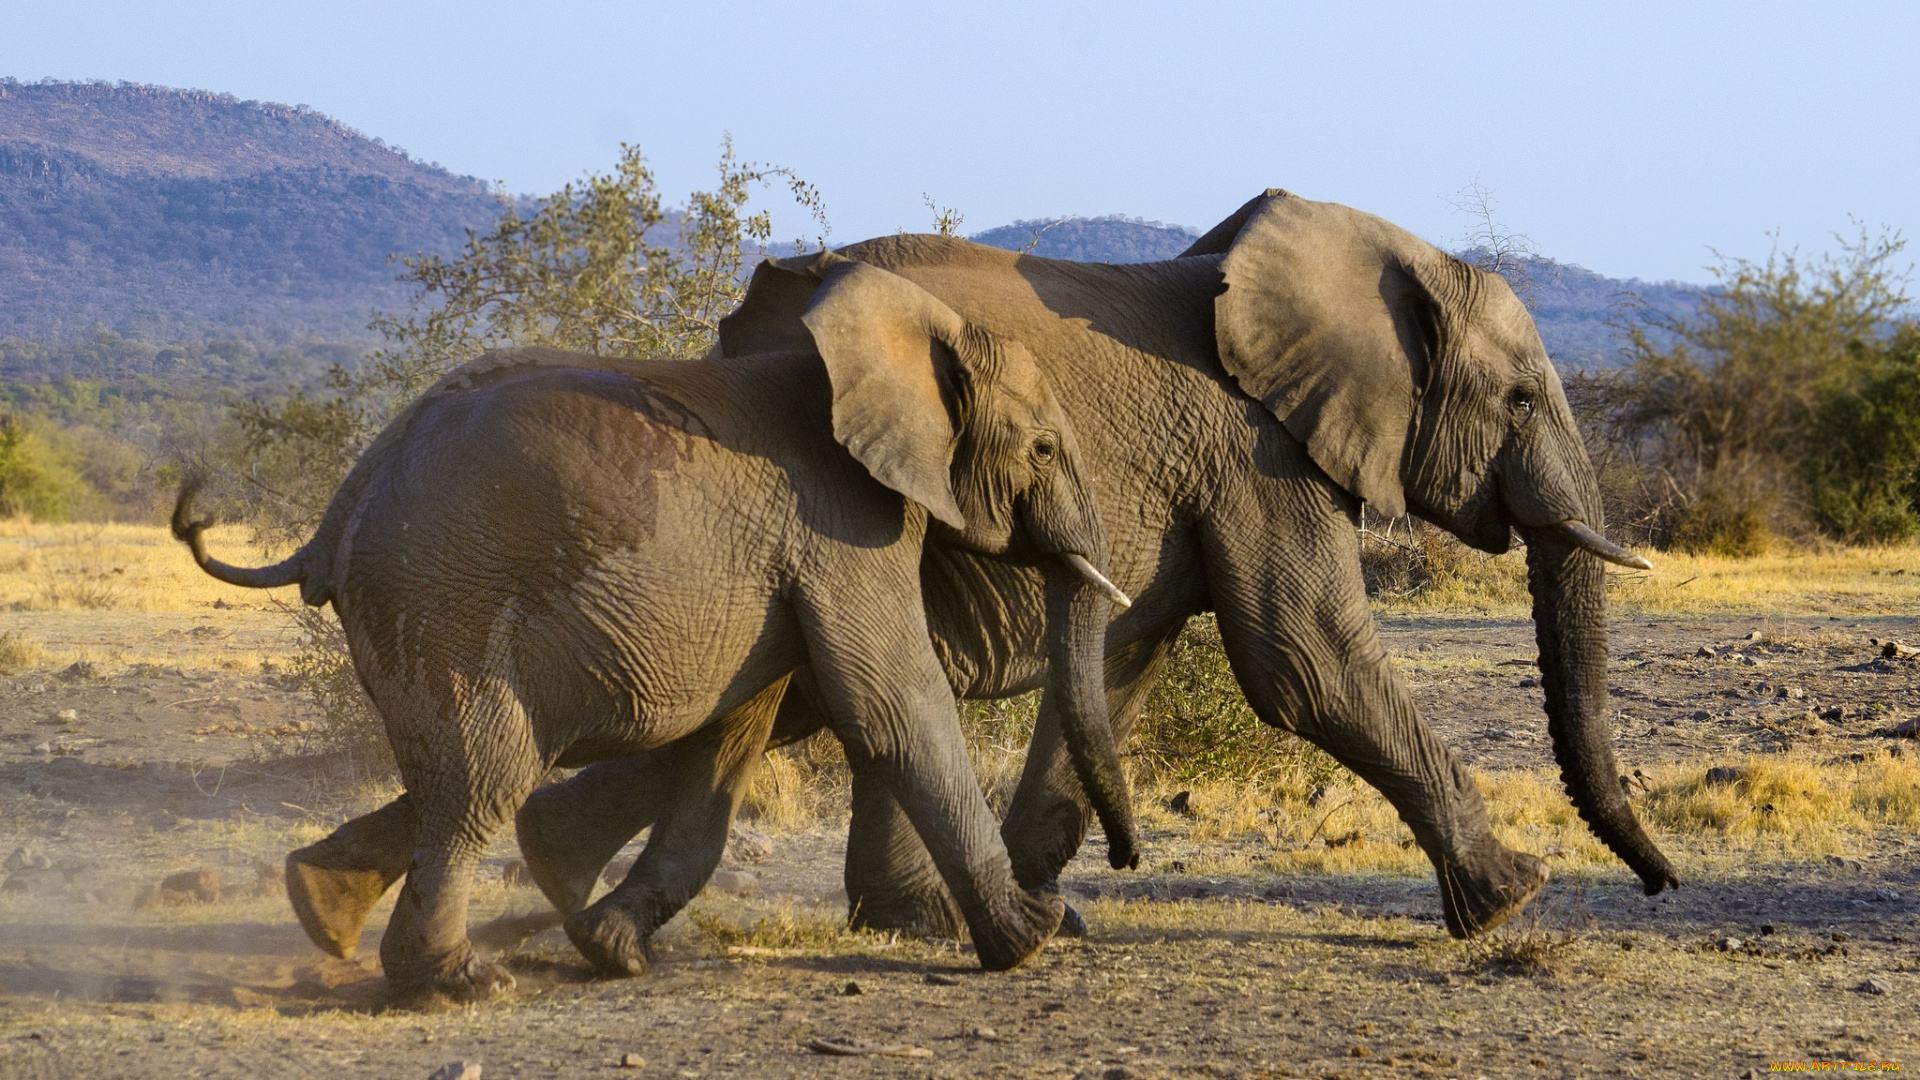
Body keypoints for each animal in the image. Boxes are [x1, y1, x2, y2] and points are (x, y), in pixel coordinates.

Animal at [168, 251, 1136, 999]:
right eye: (1044, 448)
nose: (1121, 864)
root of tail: (341, 510)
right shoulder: (844, 526)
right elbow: (895, 704)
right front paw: (1030, 938)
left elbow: (734, 737)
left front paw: (614, 953)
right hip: (444, 596)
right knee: (487, 773)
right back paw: (458, 984)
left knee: (468, 768)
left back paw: (321, 909)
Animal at [503, 182, 1689, 933]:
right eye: (1522, 398)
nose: (1663, 886)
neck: (1374, 253)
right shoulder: (1258, 451)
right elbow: (1303, 661)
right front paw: (1515, 894)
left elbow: (1121, 668)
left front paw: (1051, 910)